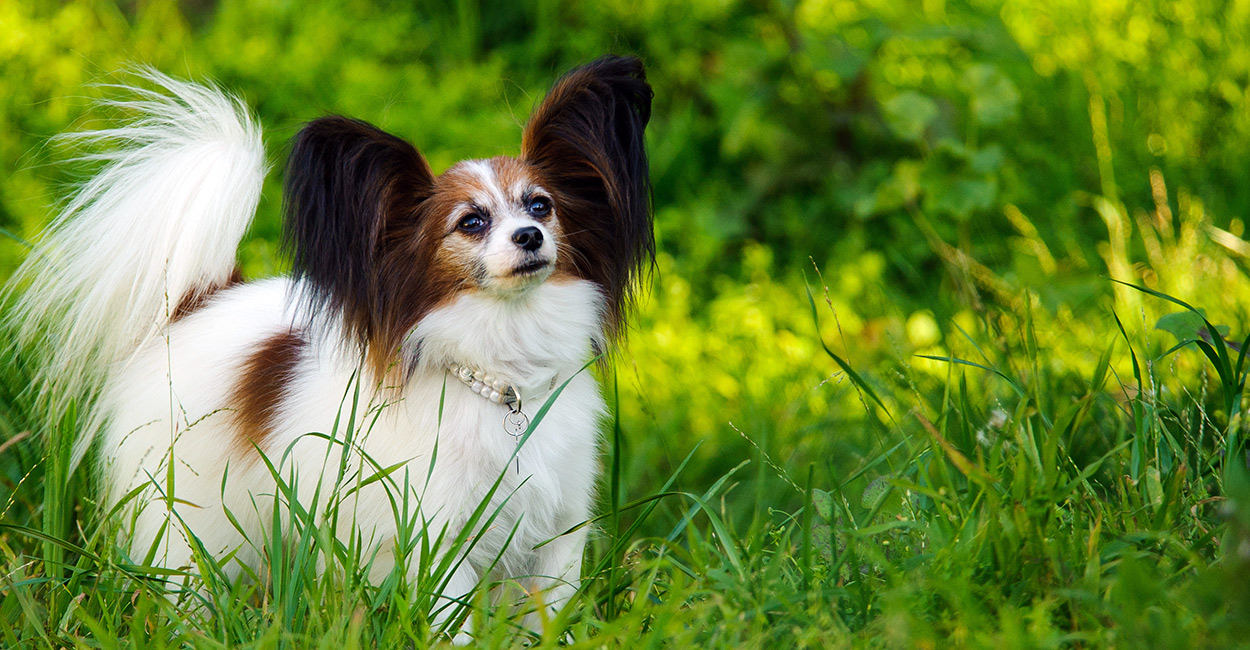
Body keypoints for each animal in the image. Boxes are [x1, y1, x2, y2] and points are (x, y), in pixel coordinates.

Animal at [12, 57, 655, 640]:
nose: (530, 237)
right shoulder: (437, 540)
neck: (503, 380)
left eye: (542, 206)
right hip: (187, 521)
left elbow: (549, 619)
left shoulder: (555, 536)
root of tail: (198, 303)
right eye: (471, 222)